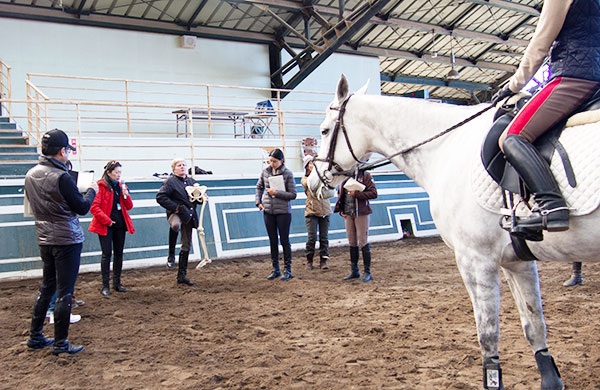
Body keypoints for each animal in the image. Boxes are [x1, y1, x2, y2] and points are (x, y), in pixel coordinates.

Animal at [310, 74, 600, 388]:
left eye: (325, 130)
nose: (313, 181)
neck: (447, 147)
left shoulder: (475, 259)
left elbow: (488, 335)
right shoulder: (517, 261)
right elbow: (534, 325)